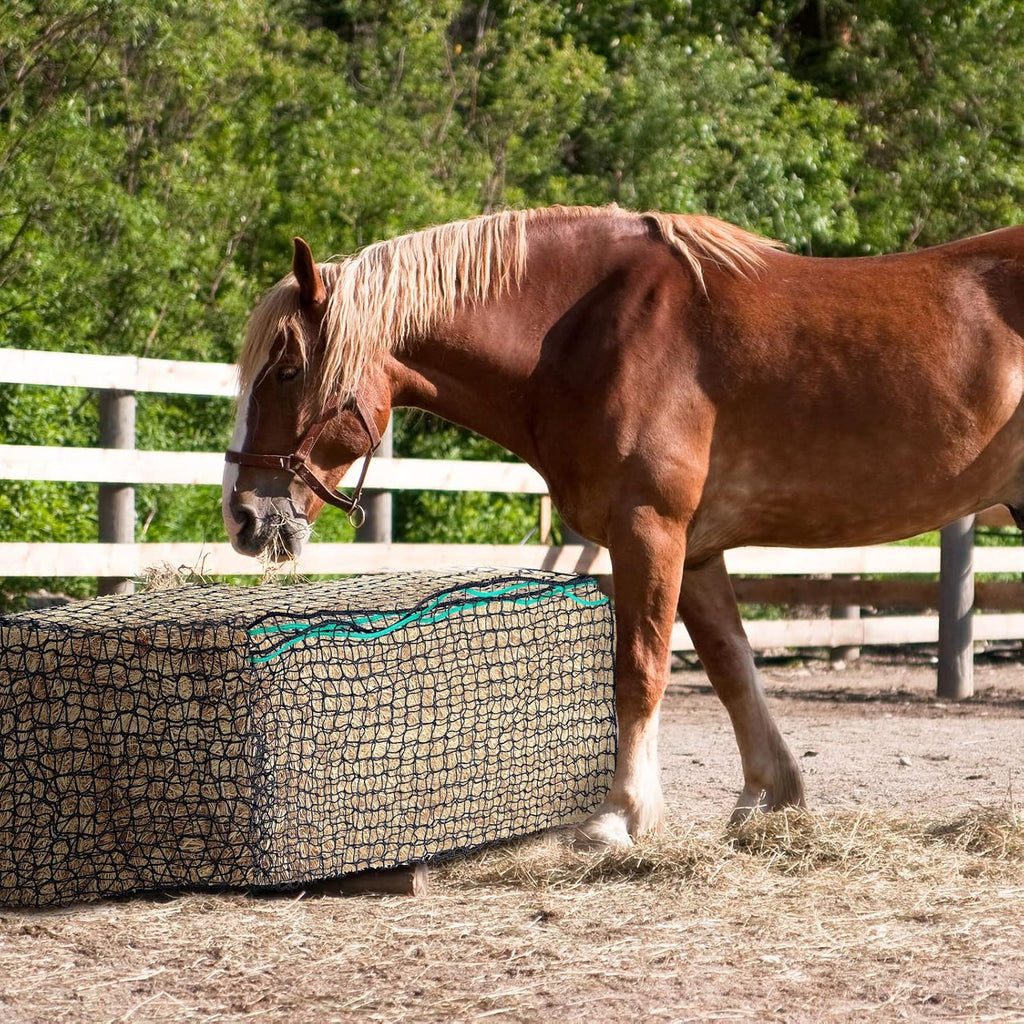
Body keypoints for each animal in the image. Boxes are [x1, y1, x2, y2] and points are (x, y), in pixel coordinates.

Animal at [222, 204, 1024, 847]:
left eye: (287, 369)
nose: (244, 515)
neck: (586, 333)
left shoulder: (649, 530)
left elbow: (639, 670)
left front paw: (621, 814)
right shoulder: (696, 552)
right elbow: (731, 668)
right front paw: (768, 798)